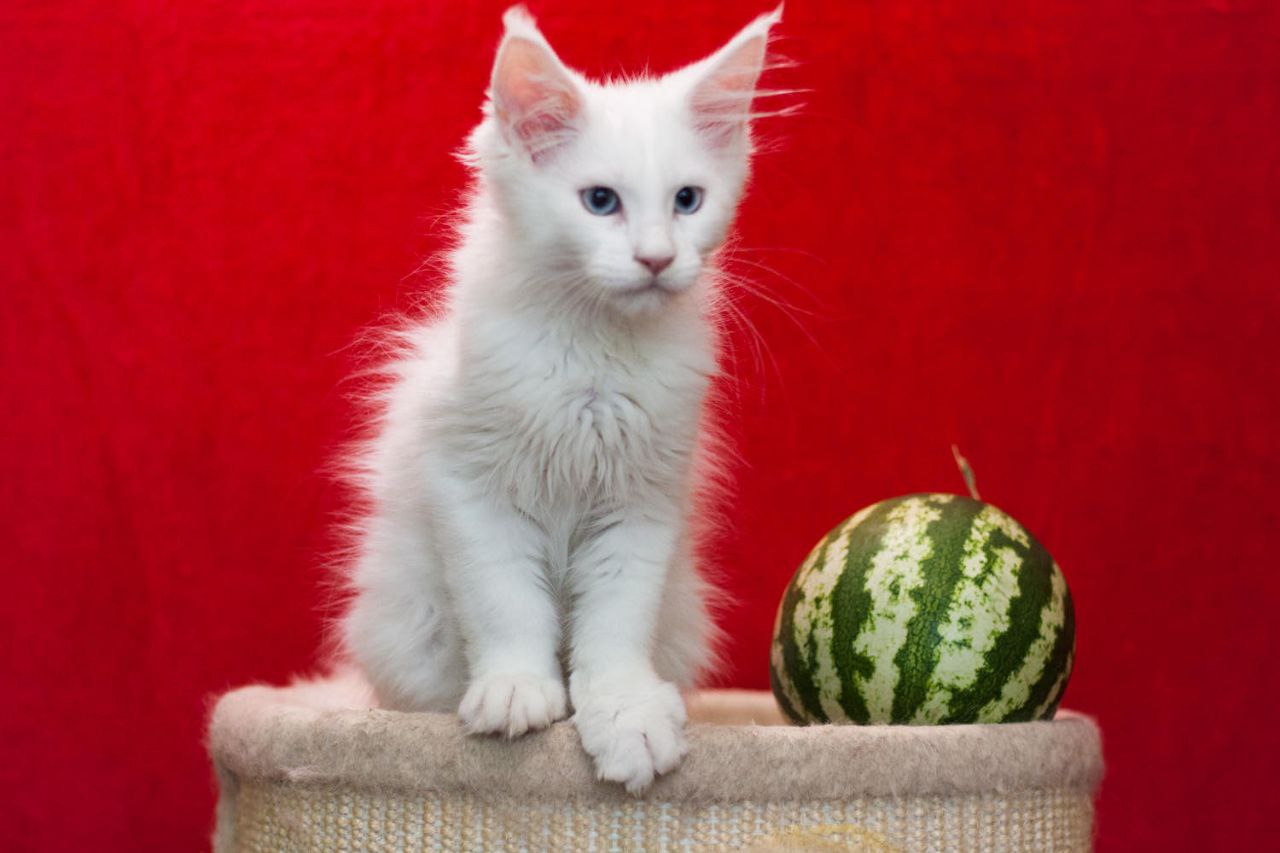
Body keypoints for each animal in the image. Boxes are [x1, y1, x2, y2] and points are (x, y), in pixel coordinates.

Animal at [340, 6, 778, 788]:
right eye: (600, 202)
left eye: (687, 201)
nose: (657, 258)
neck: (592, 356)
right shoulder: (473, 488)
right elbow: (507, 604)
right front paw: (517, 691)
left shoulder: (641, 502)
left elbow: (616, 623)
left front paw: (626, 713)